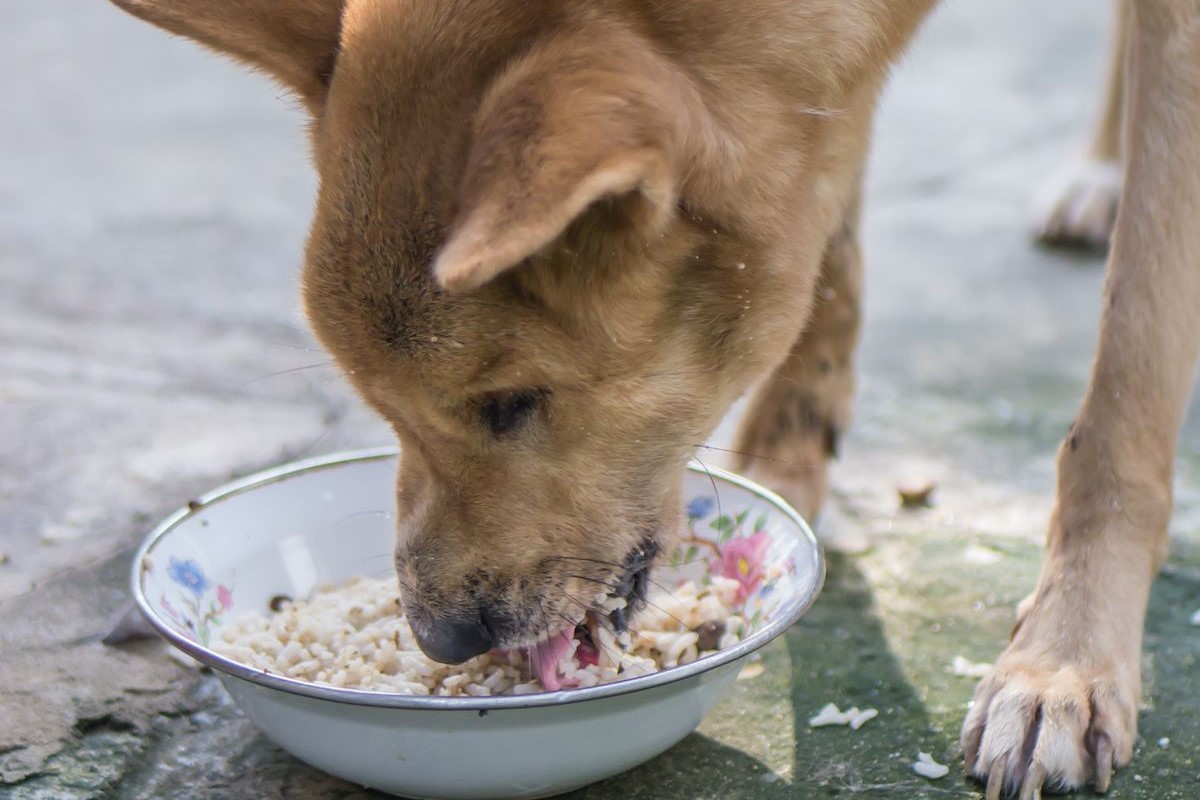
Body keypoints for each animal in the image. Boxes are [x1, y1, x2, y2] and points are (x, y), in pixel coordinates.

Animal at [108, 3, 1195, 796]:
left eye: (511, 401)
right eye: (382, 408)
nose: (441, 641)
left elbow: (1131, 368)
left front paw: (1065, 659)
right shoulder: (820, 114)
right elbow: (823, 241)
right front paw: (787, 464)